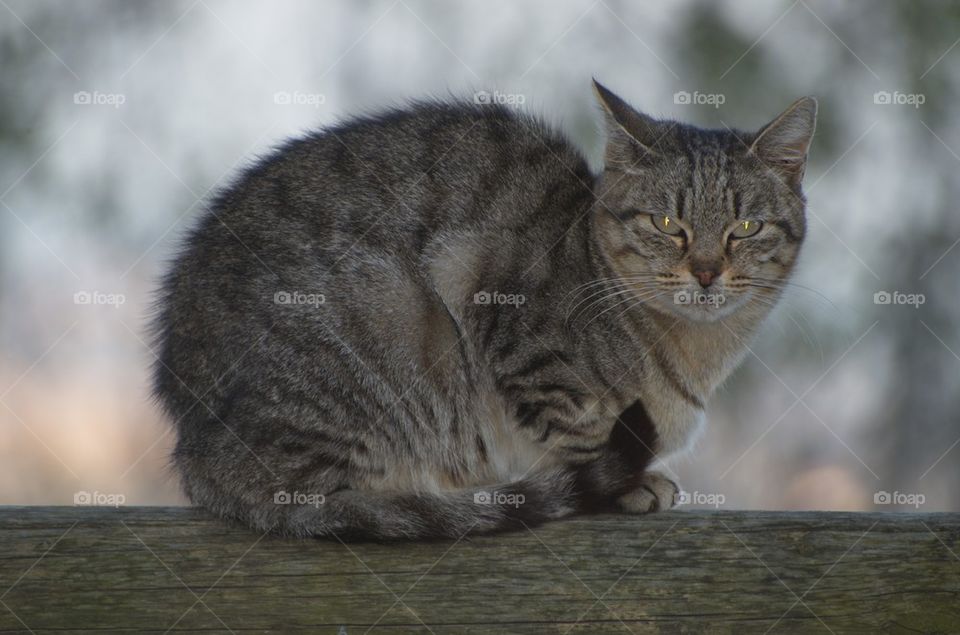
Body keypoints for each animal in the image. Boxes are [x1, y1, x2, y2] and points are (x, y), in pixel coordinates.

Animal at [152, 78, 816, 536]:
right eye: (667, 224)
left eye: (745, 227)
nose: (706, 272)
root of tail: (191, 447)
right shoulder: (510, 324)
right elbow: (580, 432)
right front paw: (626, 485)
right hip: (382, 317)